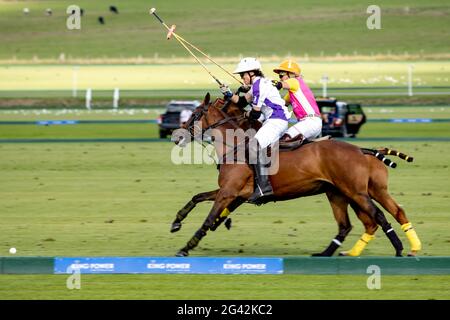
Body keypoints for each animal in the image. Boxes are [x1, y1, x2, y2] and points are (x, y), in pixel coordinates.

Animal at [171, 94, 420, 258]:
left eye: (195, 114)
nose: (176, 136)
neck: (236, 144)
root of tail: (361, 150)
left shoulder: (229, 192)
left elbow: (208, 218)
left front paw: (186, 247)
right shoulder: (234, 193)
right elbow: (197, 197)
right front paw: (176, 222)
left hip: (355, 192)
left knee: (378, 216)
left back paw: (399, 248)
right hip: (342, 193)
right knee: (356, 223)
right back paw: (329, 253)